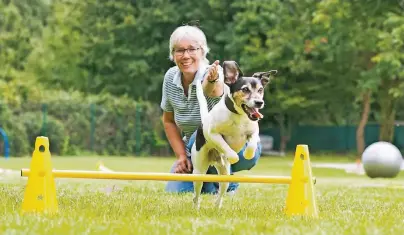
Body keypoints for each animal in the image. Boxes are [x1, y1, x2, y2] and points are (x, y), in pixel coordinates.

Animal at [191, 61, 276, 209]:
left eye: (260, 90)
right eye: (245, 89)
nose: (259, 102)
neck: (239, 116)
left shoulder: (254, 132)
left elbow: (252, 144)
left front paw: (248, 154)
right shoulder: (213, 134)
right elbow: (226, 147)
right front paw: (234, 157)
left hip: (225, 177)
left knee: (220, 193)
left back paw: (217, 208)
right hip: (199, 171)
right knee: (196, 195)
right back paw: (196, 208)